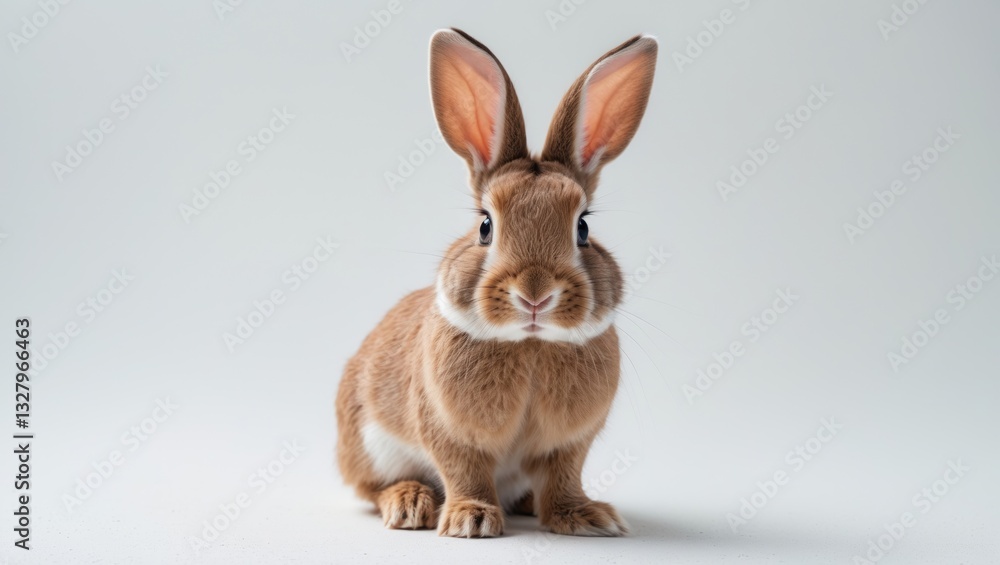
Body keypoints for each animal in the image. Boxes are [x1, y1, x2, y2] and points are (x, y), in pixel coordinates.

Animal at [336, 28, 657, 538]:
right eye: (486, 226)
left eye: (583, 227)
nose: (535, 294)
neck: (530, 343)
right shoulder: (447, 428)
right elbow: (463, 468)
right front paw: (471, 519)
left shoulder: (571, 442)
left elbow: (565, 475)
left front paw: (586, 517)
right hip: (369, 444)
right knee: (370, 487)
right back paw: (409, 504)